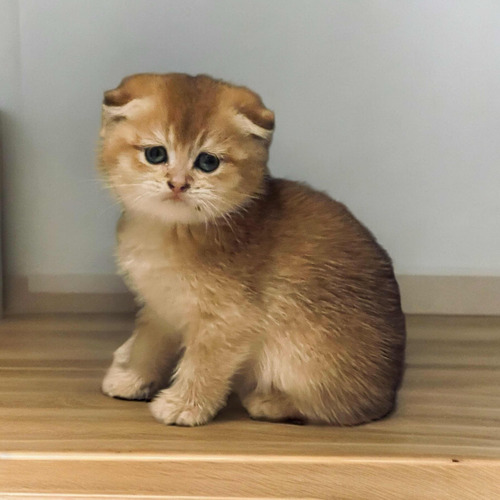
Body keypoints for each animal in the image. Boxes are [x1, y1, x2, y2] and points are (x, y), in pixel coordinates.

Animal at [98, 73, 406, 426]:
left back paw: (270, 402)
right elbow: (148, 345)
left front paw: (185, 405)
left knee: (343, 407)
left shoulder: (229, 320)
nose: (178, 184)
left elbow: (203, 365)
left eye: (207, 161)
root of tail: (391, 392)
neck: (171, 230)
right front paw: (132, 379)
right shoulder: (160, 306)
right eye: (156, 154)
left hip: (302, 352)